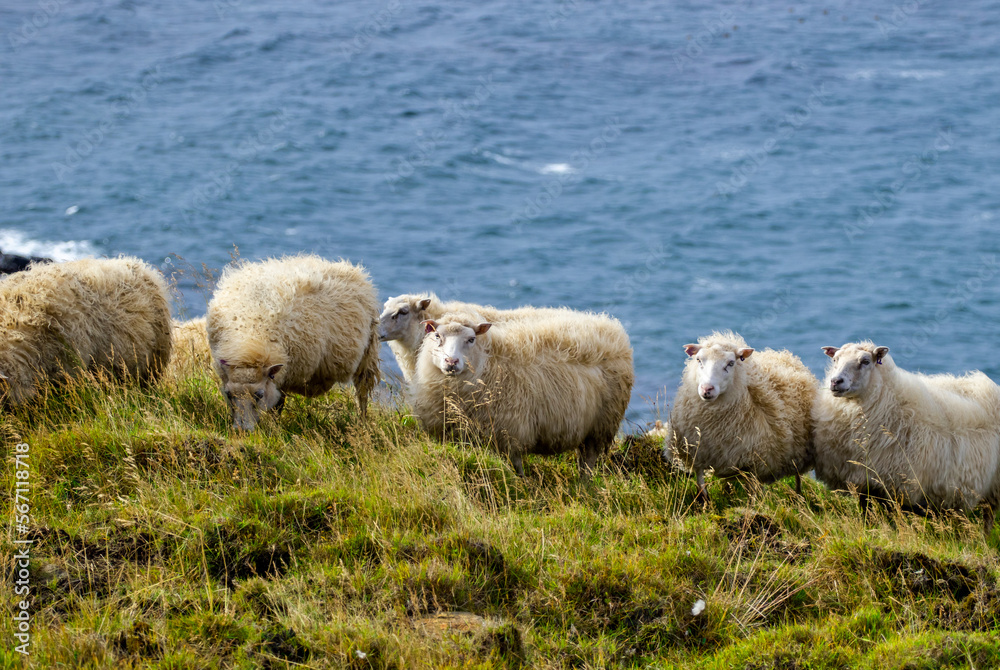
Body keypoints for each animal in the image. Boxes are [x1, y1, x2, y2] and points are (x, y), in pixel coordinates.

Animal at [206, 255, 380, 430]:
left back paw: (363, 423)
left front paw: (275, 426)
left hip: (367, 355)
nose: (241, 430)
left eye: (259, 395)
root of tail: (350, 269)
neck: (250, 337)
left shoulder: (285, 373)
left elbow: (278, 405)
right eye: (229, 394)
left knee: (362, 392)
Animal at [409, 310, 634, 478]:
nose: (451, 362)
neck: (489, 365)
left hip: (601, 425)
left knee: (589, 459)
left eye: (471, 339)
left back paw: (584, 484)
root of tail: (612, 329)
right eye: (437, 336)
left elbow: (516, 465)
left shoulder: (511, 431)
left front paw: (522, 482)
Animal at [668, 331, 816, 500]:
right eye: (698, 360)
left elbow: (753, 495)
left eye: (731, 363)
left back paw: (799, 497)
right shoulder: (698, 455)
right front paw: (706, 504)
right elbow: (701, 488)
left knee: (797, 477)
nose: (707, 389)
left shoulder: (755, 463)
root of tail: (782, 354)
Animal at [812, 341, 1000, 533]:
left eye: (865, 361)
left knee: (988, 516)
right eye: (835, 359)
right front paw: (868, 529)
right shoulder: (865, 482)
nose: (835, 381)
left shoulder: (894, 486)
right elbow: (866, 512)